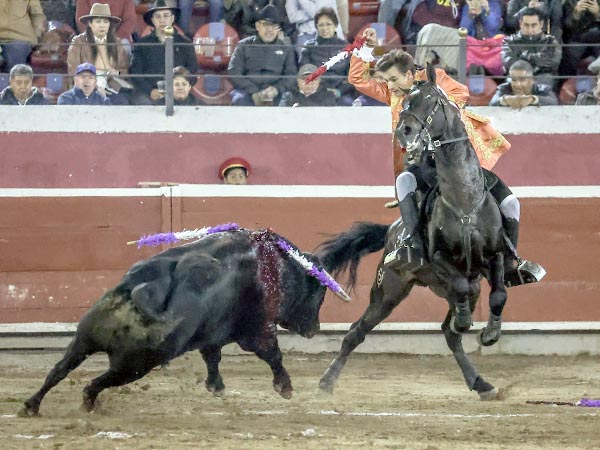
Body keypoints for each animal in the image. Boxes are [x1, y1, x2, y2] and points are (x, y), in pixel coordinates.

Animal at [21, 229, 330, 414]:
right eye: (318, 292)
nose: (314, 329)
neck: (275, 267)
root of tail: (145, 285)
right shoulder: (258, 329)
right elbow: (272, 355)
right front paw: (285, 387)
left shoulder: (211, 334)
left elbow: (212, 358)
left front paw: (216, 387)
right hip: (135, 364)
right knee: (94, 383)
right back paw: (86, 405)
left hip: (84, 340)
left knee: (58, 370)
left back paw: (31, 406)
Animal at [316, 66, 508, 398]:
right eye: (405, 102)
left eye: (430, 100)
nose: (404, 132)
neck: (463, 199)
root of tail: (392, 230)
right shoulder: (442, 258)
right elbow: (460, 286)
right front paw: (467, 321)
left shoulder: (494, 256)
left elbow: (499, 294)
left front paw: (490, 333)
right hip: (388, 290)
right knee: (357, 332)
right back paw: (327, 381)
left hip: (459, 286)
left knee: (450, 333)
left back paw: (480, 381)